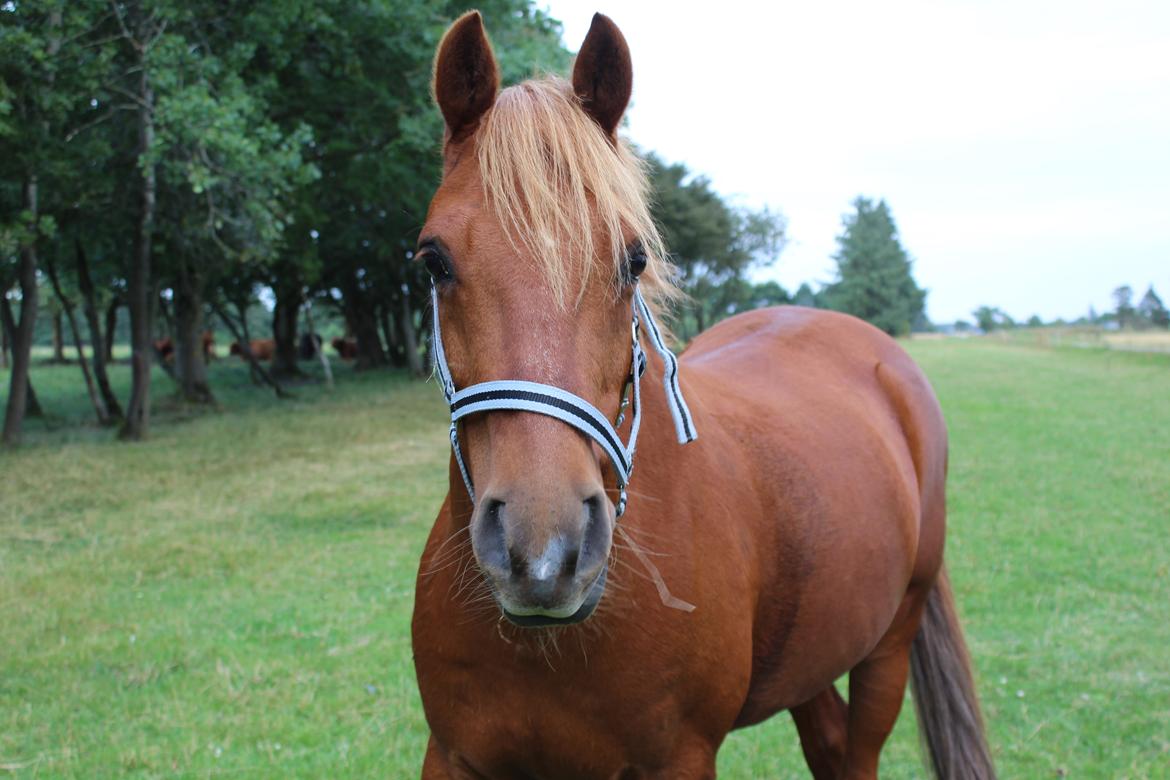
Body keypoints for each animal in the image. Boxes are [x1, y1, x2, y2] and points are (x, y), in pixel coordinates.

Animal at [407, 13, 992, 780]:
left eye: (634, 260)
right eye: (434, 261)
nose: (544, 552)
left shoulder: (681, 758)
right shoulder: (452, 754)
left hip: (890, 643)